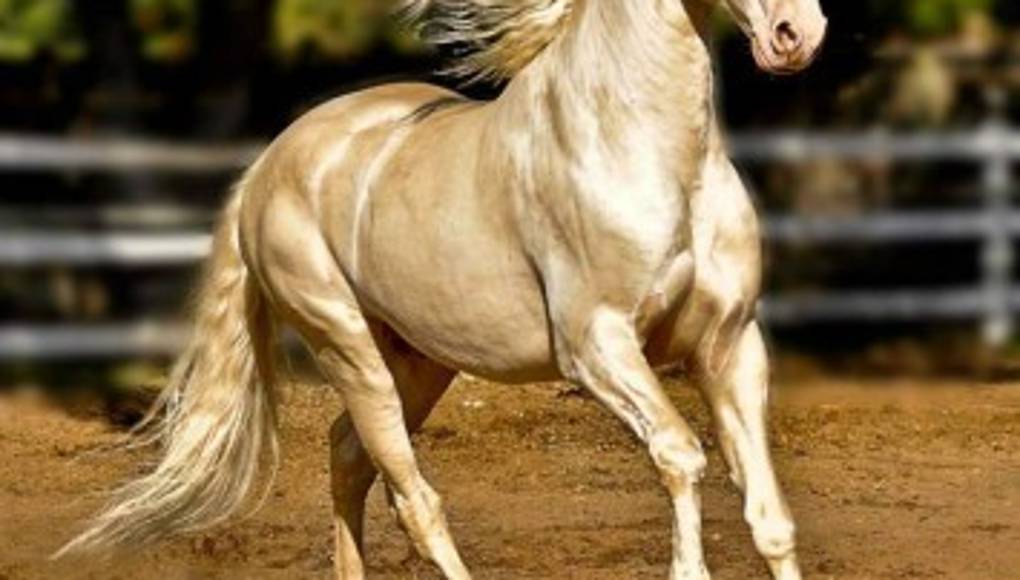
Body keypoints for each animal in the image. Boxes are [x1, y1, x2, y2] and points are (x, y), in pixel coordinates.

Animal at [56, 0, 827, 578]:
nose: (796, 33)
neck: (645, 152)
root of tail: (268, 164)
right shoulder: (598, 347)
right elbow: (680, 457)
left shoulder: (729, 347)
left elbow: (771, 518)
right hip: (347, 347)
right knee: (413, 498)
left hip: (420, 362)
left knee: (348, 456)